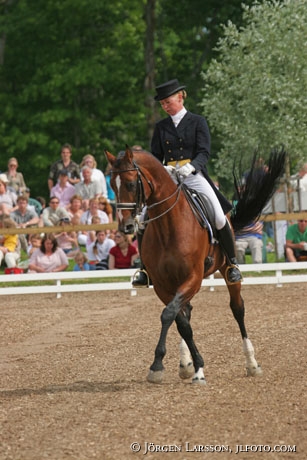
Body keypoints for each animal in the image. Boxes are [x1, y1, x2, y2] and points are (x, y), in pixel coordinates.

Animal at [105, 146, 286, 384]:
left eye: (130, 183)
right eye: (111, 184)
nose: (125, 227)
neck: (168, 226)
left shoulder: (193, 278)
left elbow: (171, 316)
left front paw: (177, 367)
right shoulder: (163, 285)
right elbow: (179, 321)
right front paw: (184, 365)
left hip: (225, 270)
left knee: (237, 309)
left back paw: (252, 363)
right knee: (186, 311)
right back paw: (185, 363)